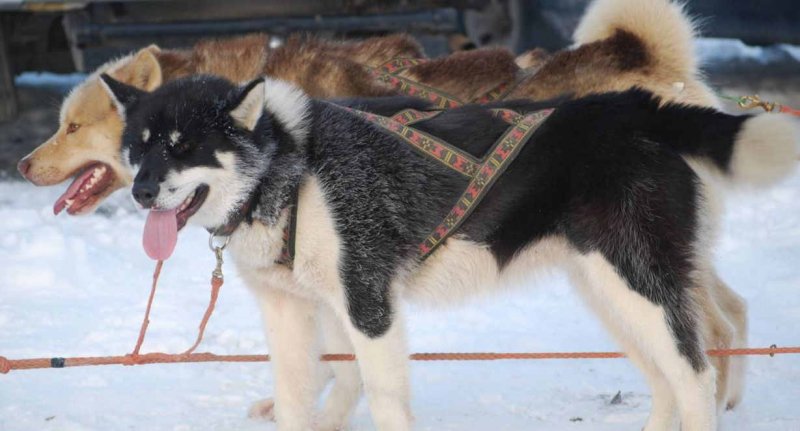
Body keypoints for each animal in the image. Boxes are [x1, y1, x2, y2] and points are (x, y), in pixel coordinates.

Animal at [18, 0, 748, 418]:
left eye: (181, 146)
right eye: (136, 145)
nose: (24, 165)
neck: (290, 167)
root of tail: (644, 101)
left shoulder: (366, 303)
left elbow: (368, 386)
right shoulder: (303, 307)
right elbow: (314, 385)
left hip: (638, 280)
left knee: (699, 360)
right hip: (609, 288)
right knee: (689, 353)